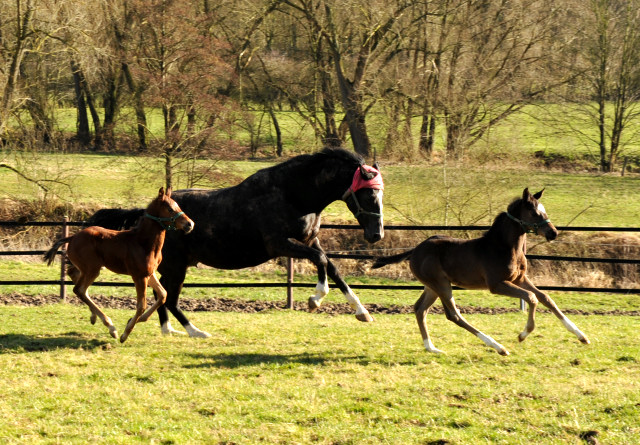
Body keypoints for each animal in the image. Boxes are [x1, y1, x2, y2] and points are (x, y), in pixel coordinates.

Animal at [45, 186, 192, 342]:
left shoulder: (149, 273)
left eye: (178, 206)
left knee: (74, 275)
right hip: (92, 269)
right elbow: (141, 305)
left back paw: (94, 317)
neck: (143, 243)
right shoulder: (139, 277)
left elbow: (163, 294)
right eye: (170, 209)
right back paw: (111, 327)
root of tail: (72, 237)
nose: (189, 224)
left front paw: (138, 320)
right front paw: (125, 334)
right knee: (79, 289)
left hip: (87, 267)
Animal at [85, 147, 384, 334]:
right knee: (170, 299)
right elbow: (322, 262)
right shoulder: (281, 244)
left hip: (170, 266)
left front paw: (362, 312)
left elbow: (332, 268)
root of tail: (147, 214)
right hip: (176, 267)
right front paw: (315, 299)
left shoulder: (310, 240)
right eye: (369, 195)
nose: (376, 235)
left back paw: (167, 330)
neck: (293, 195)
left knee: (163, 295)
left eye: (380, 193)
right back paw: (191, 332)